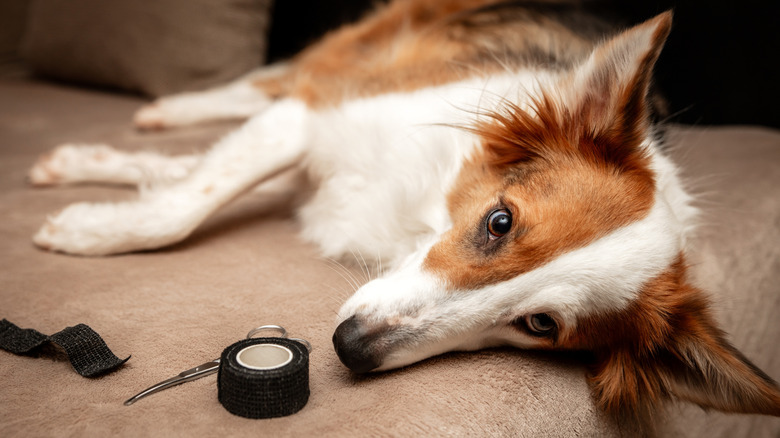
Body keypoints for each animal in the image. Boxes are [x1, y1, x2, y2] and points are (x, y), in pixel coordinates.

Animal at [27, 0, 780, 420]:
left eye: (539, 326)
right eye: (500, 222)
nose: (351, 348)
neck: (417, 214)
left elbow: (193, 179)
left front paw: (98, 182)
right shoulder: (317, 119)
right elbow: (187, 204)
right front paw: (98, 227)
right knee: (271, 80)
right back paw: (170, 108)